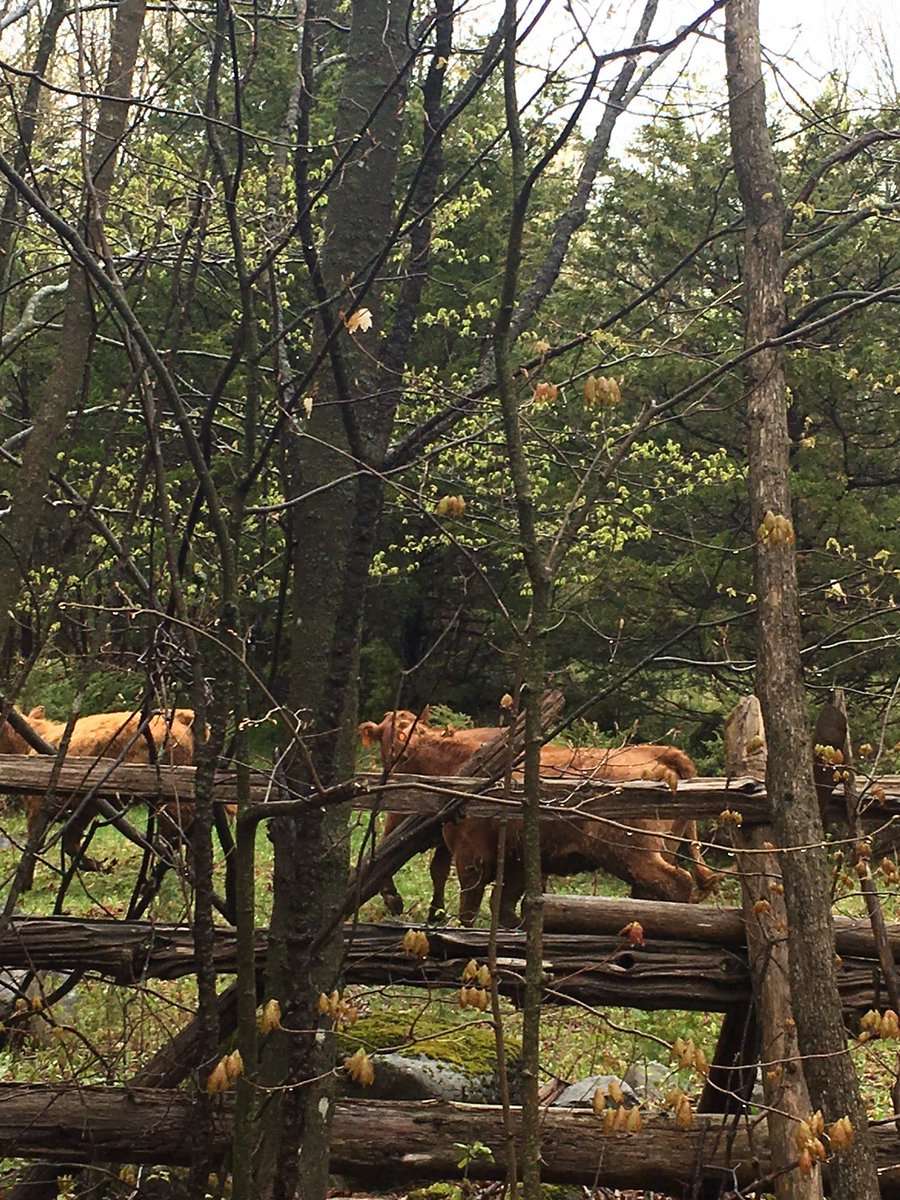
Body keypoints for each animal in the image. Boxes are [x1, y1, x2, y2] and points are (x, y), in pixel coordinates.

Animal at [359, 708, 721, 925]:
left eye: (397, 745)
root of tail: (656, 752)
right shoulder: (516, 856)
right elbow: (506, 908)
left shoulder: (471, 855)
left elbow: (469, 906)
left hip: (633, 853)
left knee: (676, 884)